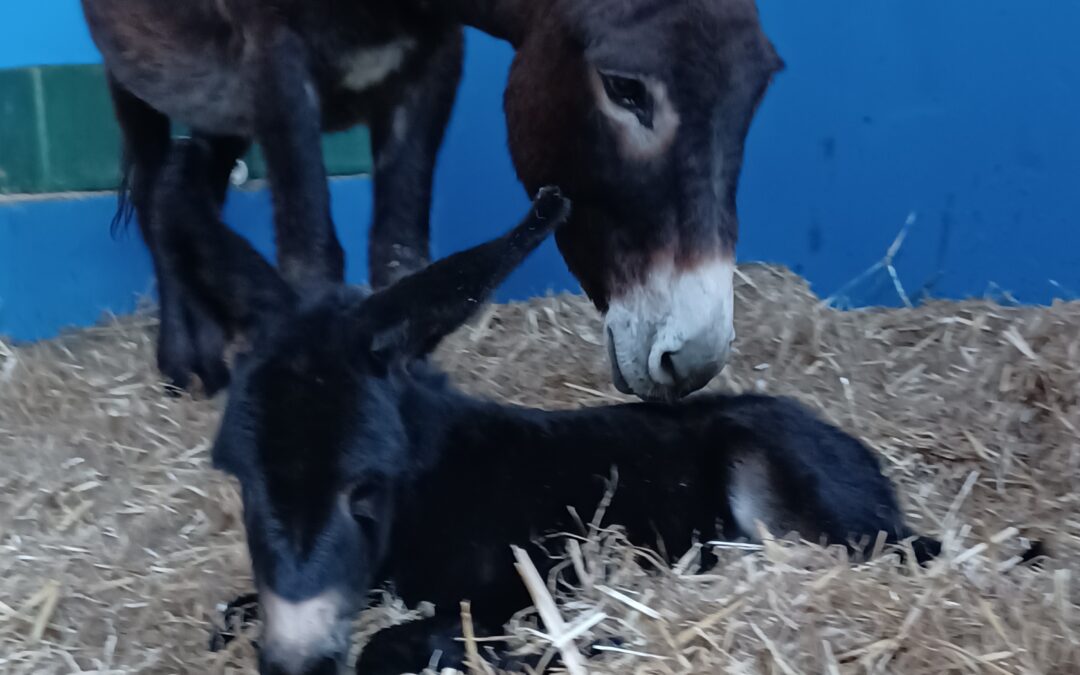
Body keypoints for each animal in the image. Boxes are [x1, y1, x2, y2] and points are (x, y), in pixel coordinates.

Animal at [154, 138, 937, 673]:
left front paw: (547, 651)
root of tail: (863, 458)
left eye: (364, 487)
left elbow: (393, 646)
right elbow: (230, 614)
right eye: (243, 480)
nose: (296, 661)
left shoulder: (506, 590)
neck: (427, 498)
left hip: (783, 486)